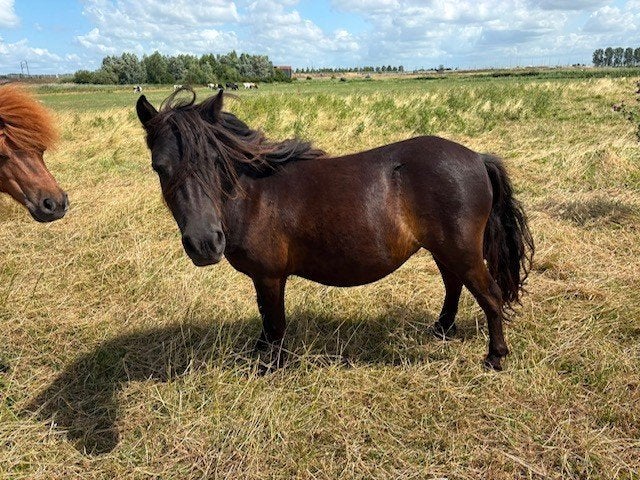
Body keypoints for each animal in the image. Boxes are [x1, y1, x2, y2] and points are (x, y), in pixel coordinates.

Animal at [136, 89, 534, 371]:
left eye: (216, 162)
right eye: (159, 167)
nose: (204, 243)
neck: (254, 194)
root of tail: (477, 158)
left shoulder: (269, 276)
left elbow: (275, 321)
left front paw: (271, 365)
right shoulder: (263, 278)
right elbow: (265, 318)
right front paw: (260, 351)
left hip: (462, 250)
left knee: (490, 296)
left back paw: (495, 356)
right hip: (443, 249)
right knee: (453, 286)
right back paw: (442, 329)